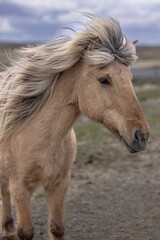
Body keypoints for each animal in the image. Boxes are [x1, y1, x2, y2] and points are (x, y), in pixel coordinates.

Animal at [0, 14, 150, 239]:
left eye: (130, 79)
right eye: (104, 80)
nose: (142, 135)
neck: (43, 137)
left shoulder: (60, 184)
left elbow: (57, 228)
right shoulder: (20, 188)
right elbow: (25, 231)